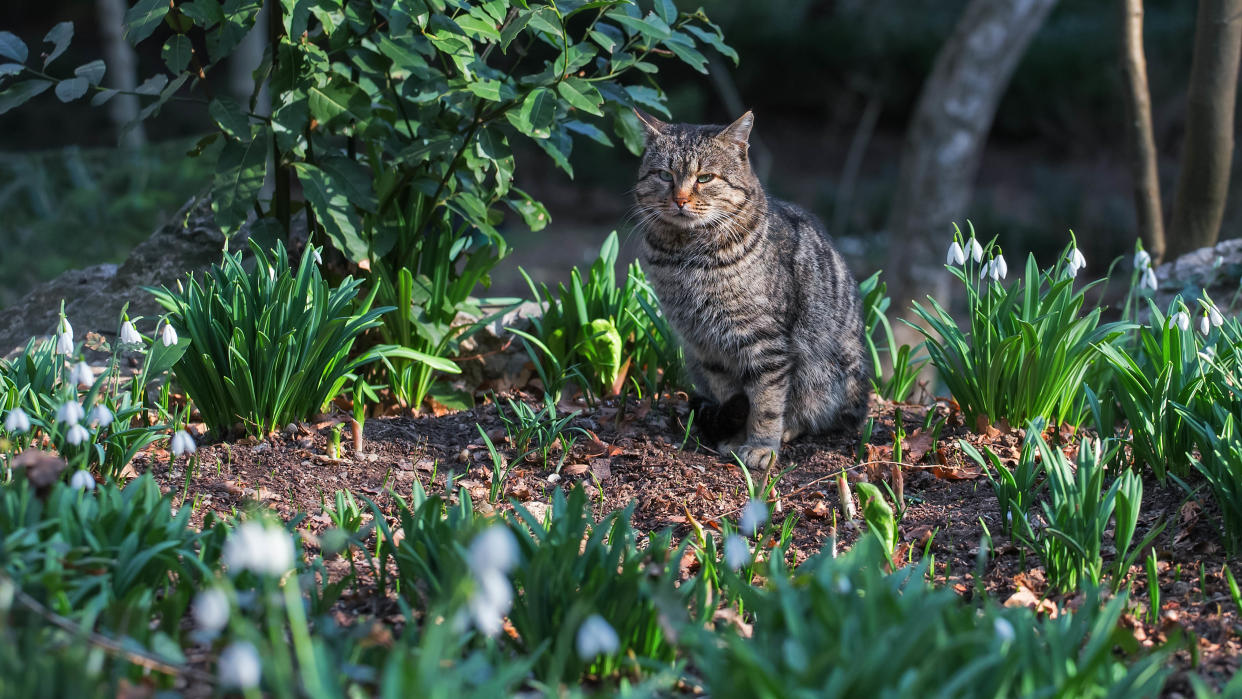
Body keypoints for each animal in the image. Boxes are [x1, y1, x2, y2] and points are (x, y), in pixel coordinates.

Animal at [630, 110, 864, 469]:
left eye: (705, 178)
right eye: (664, 175)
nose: (680, 199)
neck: (686, 257)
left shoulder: (763, 342)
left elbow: (766, 401)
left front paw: (760, 446)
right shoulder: (705, 345)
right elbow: (731, 394)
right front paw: (736, 436)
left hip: (825, 369)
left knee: (821, 416)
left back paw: (788, 429)